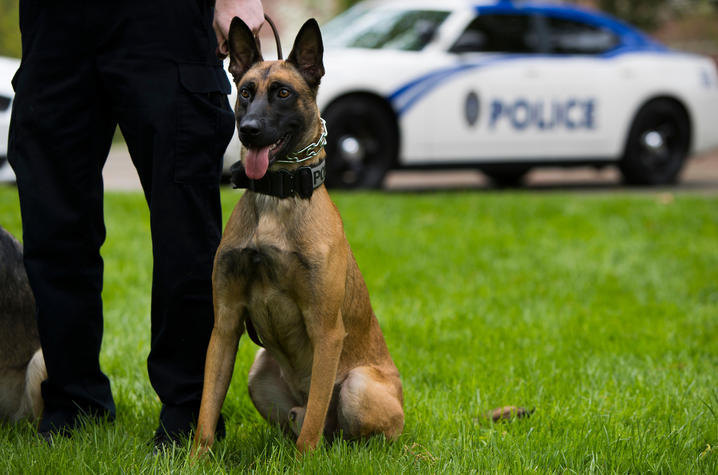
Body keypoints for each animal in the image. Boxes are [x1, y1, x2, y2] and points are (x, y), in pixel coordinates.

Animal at [191, 19, 404, 458]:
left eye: (283, 93)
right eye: (246, 92)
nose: (248, 131)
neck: (277, 198)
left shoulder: (326, 330)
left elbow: (313, 424)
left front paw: (304, 461)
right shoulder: (226, 324)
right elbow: (207, 408)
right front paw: (195, 460)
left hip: (357, 387)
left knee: (345, 428)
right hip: (258, 372)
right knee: (305, 420)